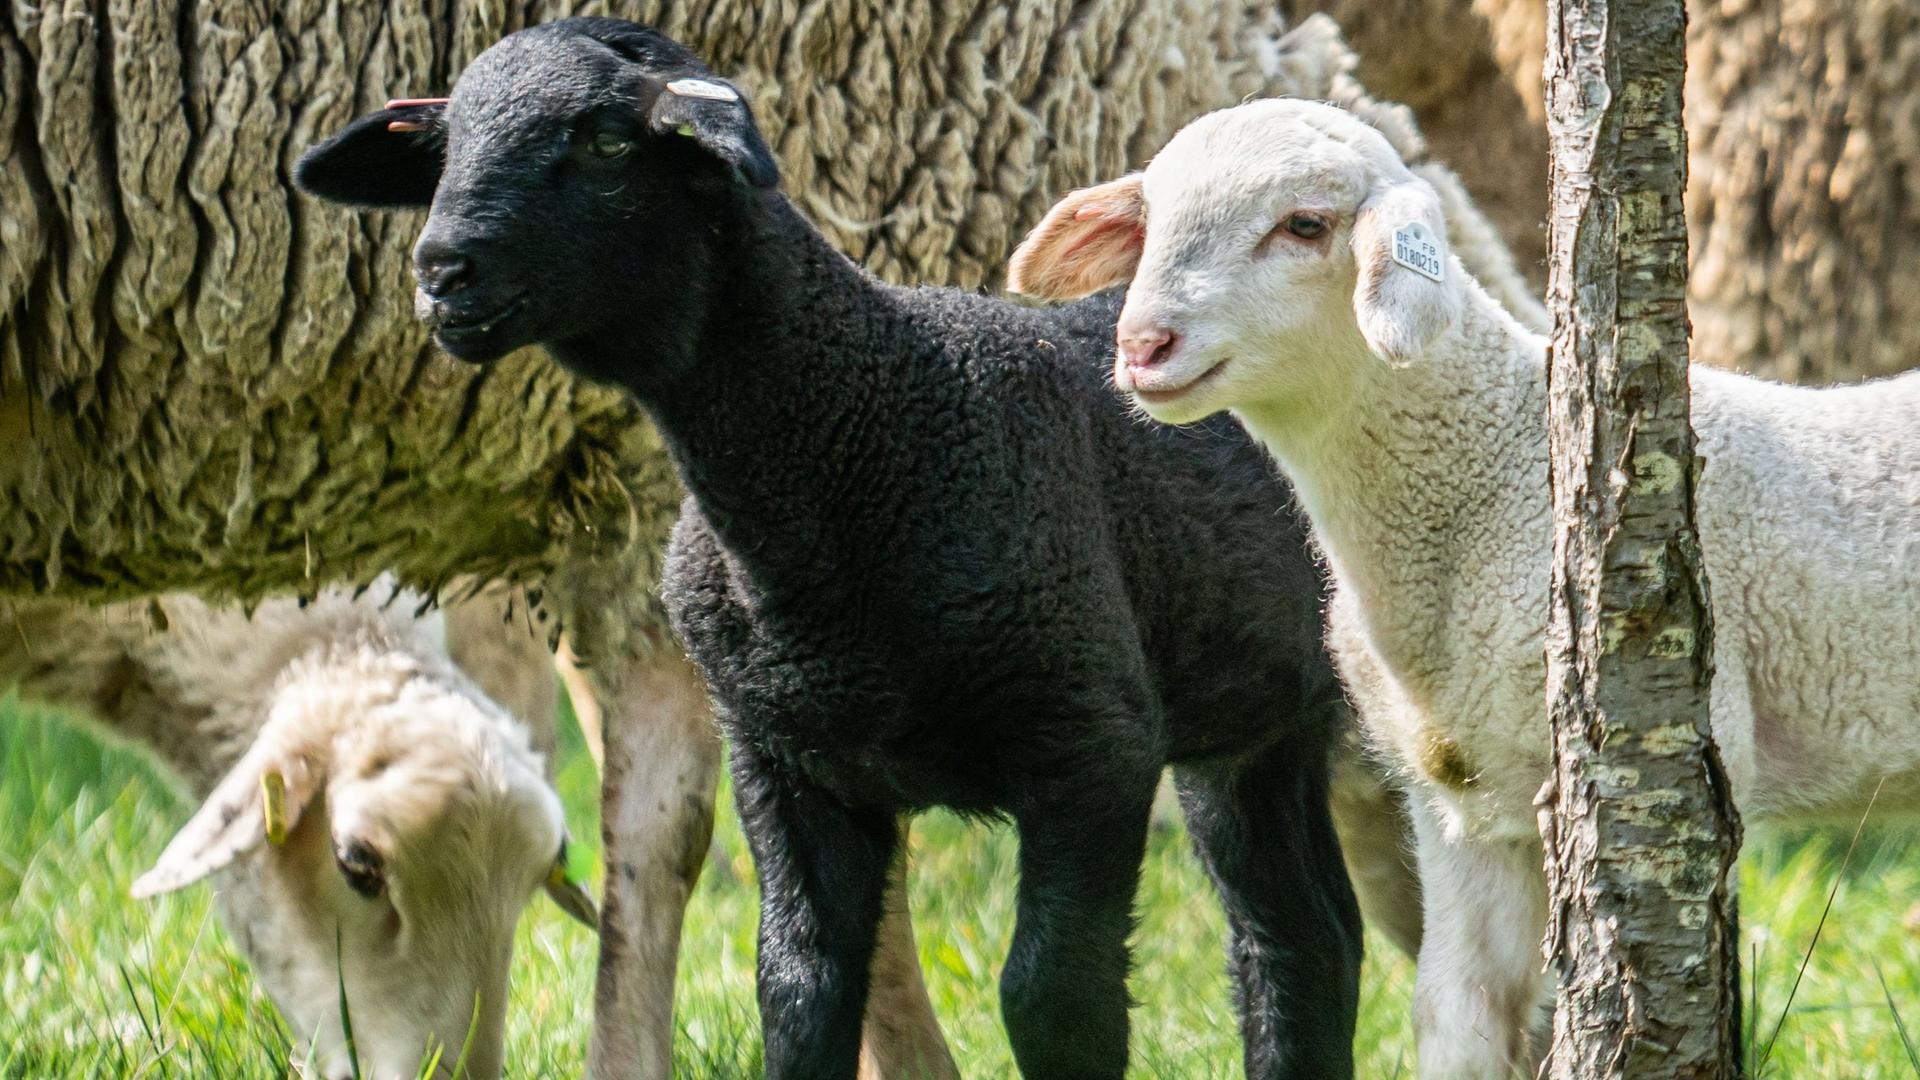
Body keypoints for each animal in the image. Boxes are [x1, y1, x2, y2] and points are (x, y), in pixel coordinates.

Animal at [292, 17, 1379, 1079]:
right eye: (443, 149)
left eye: (604, 144)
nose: (441, 274)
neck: (859, 430)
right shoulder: (785, 759)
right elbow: (800, 984)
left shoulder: (1091, 746)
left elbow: (1052, 999)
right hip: (1246, 721)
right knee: (1299, 937)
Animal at [1007, 96, 1920, 1078]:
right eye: (1151, 221)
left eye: (1304, 226)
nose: (1144, 345)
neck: (1494, 470)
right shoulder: (1459, 803)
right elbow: (1458, 1013)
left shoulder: (1685, 760)